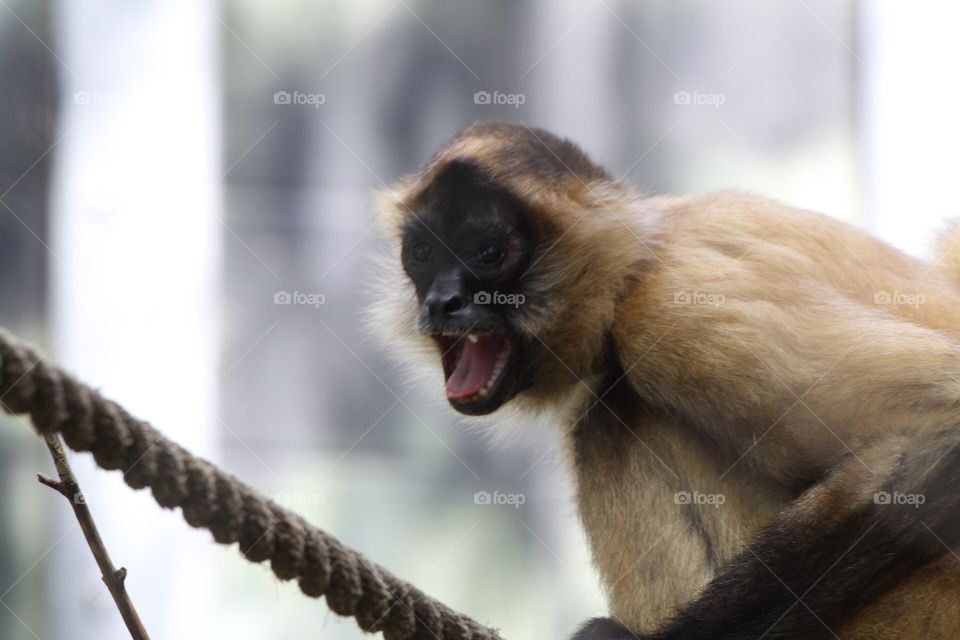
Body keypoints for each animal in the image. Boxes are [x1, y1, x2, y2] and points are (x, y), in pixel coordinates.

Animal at [369, 122, 960, 639]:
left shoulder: (670, 303)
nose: (441, 300)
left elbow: (937, 424)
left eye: (489, 254)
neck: (641, 251)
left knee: (611, 413)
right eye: (422, 255)